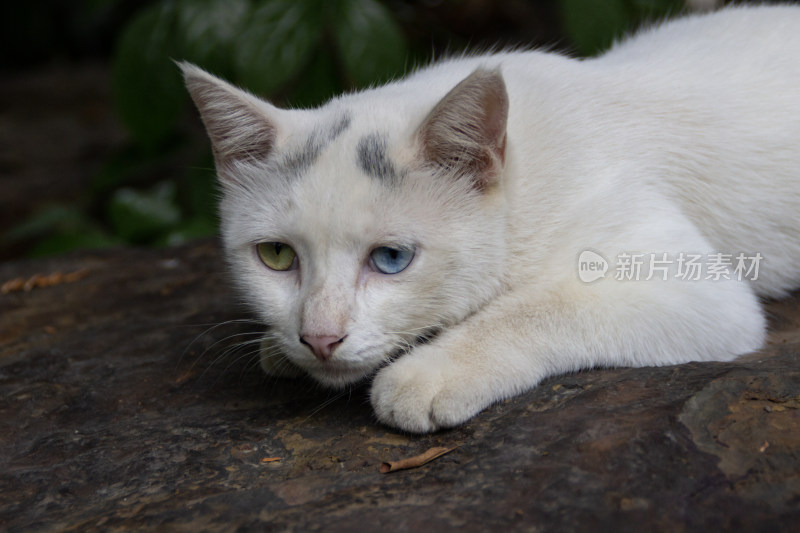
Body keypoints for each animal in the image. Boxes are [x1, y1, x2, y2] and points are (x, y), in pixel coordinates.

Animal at [181, 5, 800, 432]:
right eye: (276, 256)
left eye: (391, 259)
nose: (319, 339)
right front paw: (278, 346)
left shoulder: (697, 288)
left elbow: (540, 306)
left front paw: (430, 373)